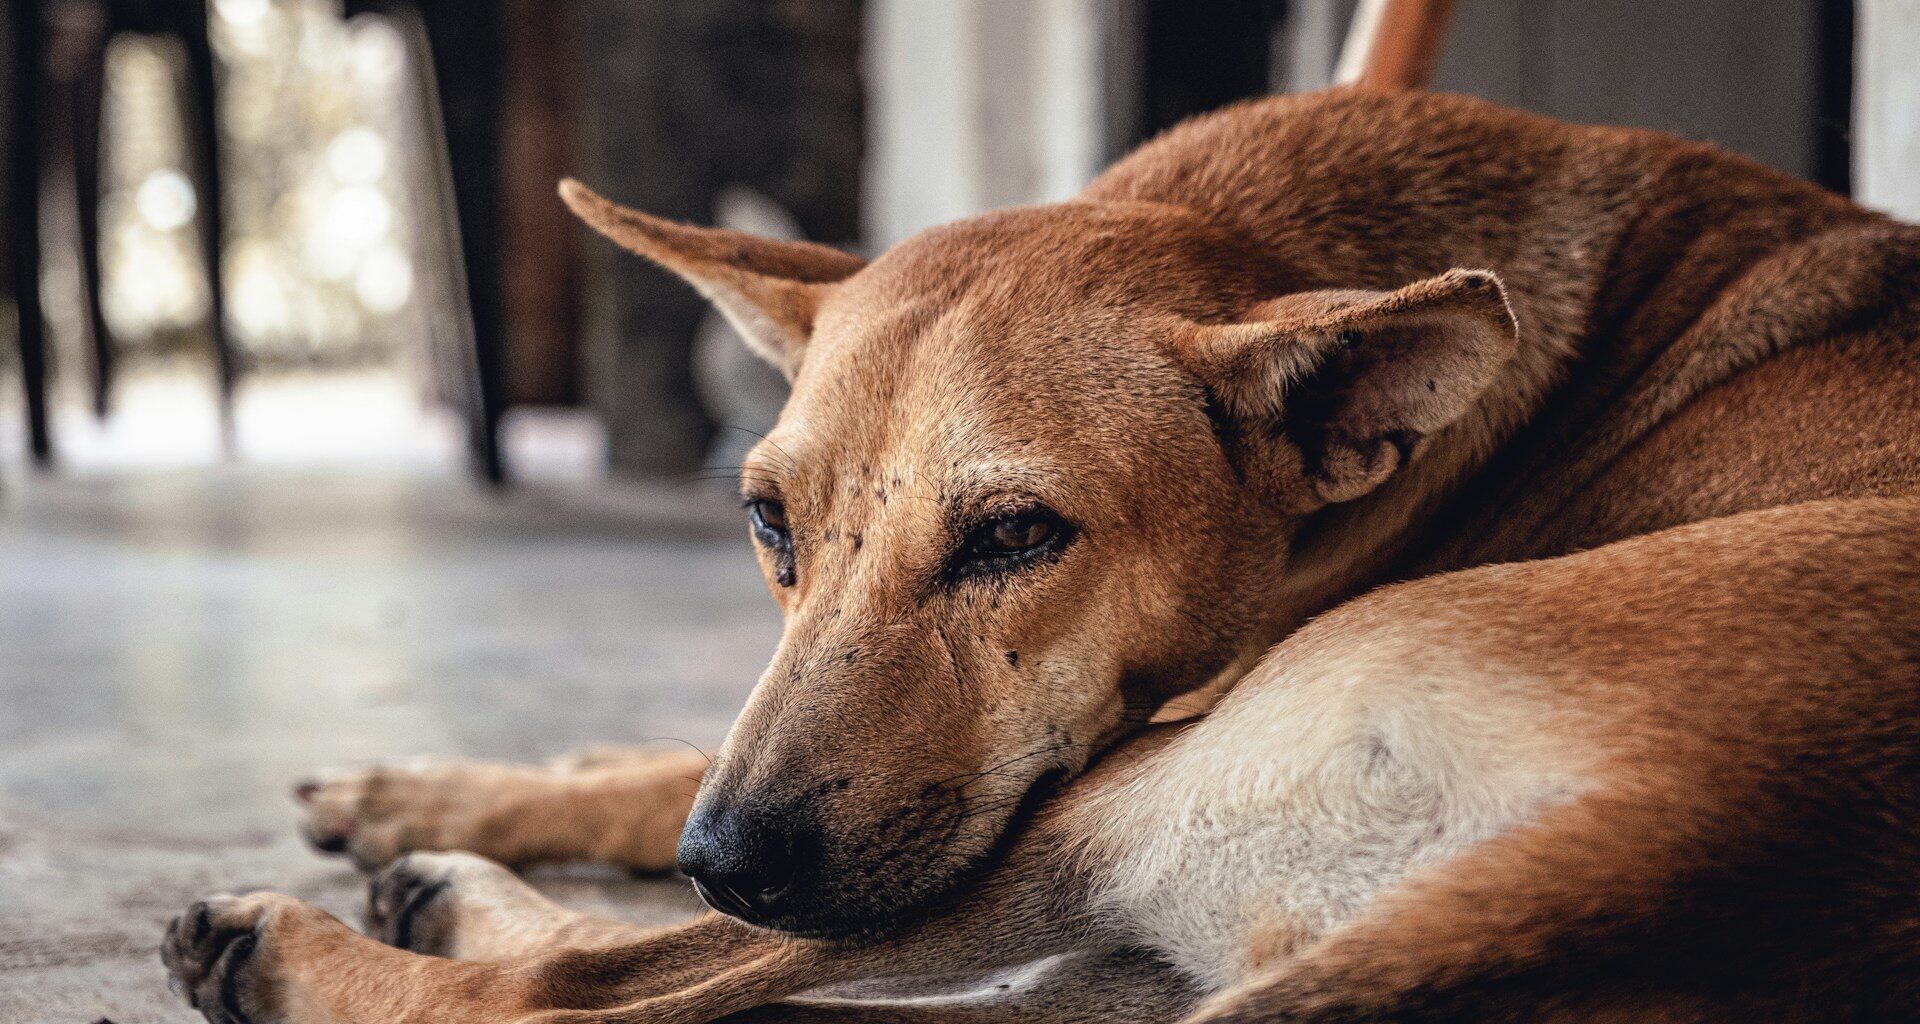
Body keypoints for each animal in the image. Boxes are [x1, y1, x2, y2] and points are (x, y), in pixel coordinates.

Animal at [161, 87, 1920, 1022]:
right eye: (767, 522)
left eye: (1017, 535)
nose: (726, 858)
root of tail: (1679, 846)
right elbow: (653, 761)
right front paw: (449, 785)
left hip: (1091, 807)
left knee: (573, 994)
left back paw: (325, 940)